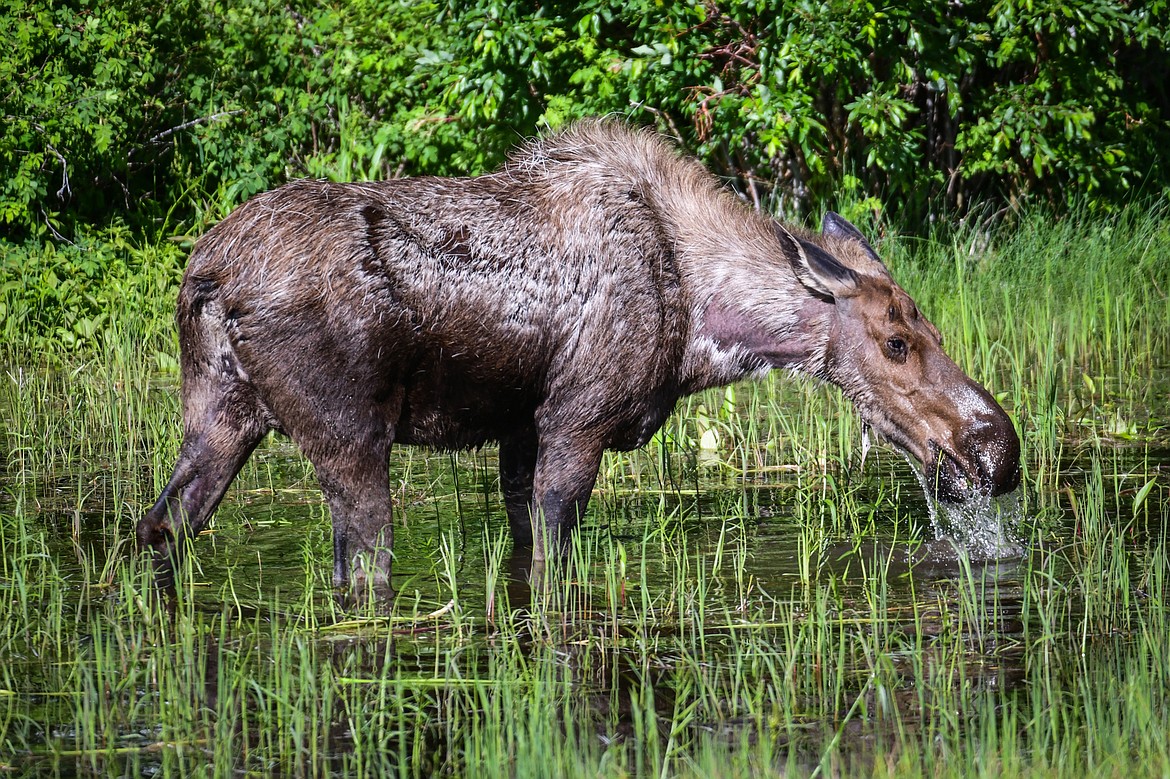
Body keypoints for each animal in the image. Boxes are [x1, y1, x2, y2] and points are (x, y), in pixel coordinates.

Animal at [136, 119, 1020, 594]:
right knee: (361, 565)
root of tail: (208, 275)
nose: (996, 451)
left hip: (219, 413)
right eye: (897, 341)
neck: (704, 322)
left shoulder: (518, 431)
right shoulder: (576, 419)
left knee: (161, 525)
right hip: (349, 434)